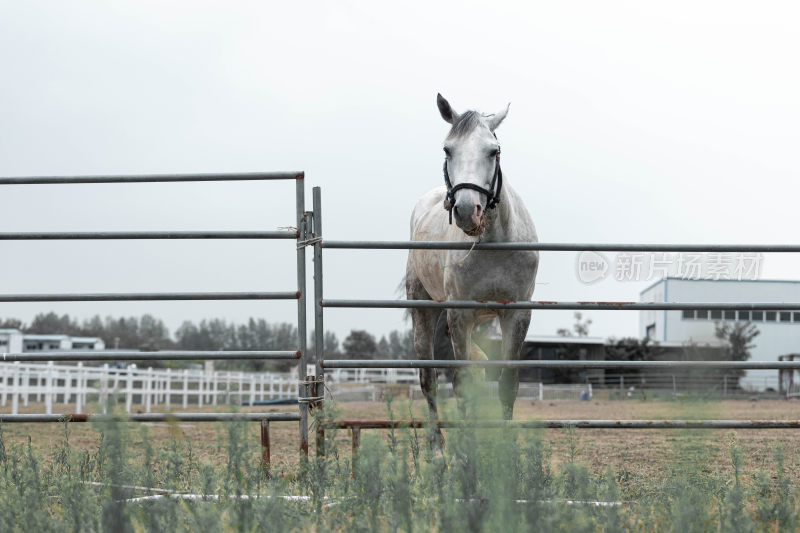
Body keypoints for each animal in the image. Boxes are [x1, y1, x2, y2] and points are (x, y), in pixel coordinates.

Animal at [406, 93, 536, 430]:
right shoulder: (459, 313)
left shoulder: (516, 313)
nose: (467, 211)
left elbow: (506, 385)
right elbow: (461, 384)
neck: (492, 243)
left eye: (494, 151)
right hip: (423, 311)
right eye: (447, 149)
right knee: (429, 381)